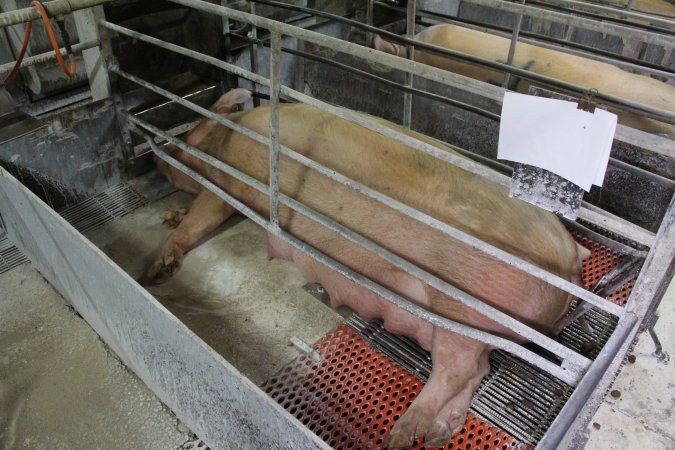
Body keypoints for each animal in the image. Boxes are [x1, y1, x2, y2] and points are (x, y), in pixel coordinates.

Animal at [144, 88, 592, 446]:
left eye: (188, 132)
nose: (156, 161)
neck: (229, 133)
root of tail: (571, 258)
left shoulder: (225, 180)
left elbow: (200, 218)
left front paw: (154, 271)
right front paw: (168, 220)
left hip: (460, 310)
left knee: (457, 370)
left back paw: (402, 433)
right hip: (466, 328)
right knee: (477, 369)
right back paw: (438, 433)